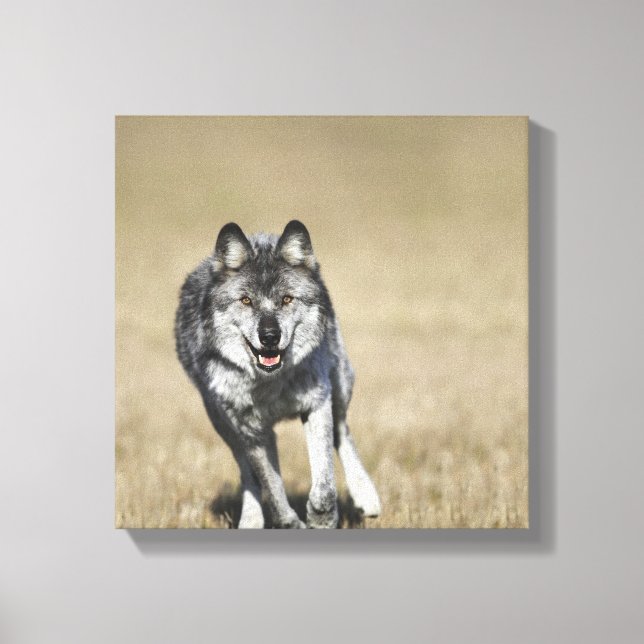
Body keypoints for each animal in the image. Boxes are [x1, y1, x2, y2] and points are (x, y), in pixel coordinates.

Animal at [175, 220, 381, 528]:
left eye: (286, 299)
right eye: (246, 300)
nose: (270, 336)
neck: (270, 384)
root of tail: (262, 236)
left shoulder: (317, 405)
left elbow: (324, 482)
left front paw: (321, 520)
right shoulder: (250, 430)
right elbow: (271, 489)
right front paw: (290, 524)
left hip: (340, 385)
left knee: (342, 431)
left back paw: (366, 496)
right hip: (225, 426)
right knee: (247, 473)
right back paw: (250, 520)